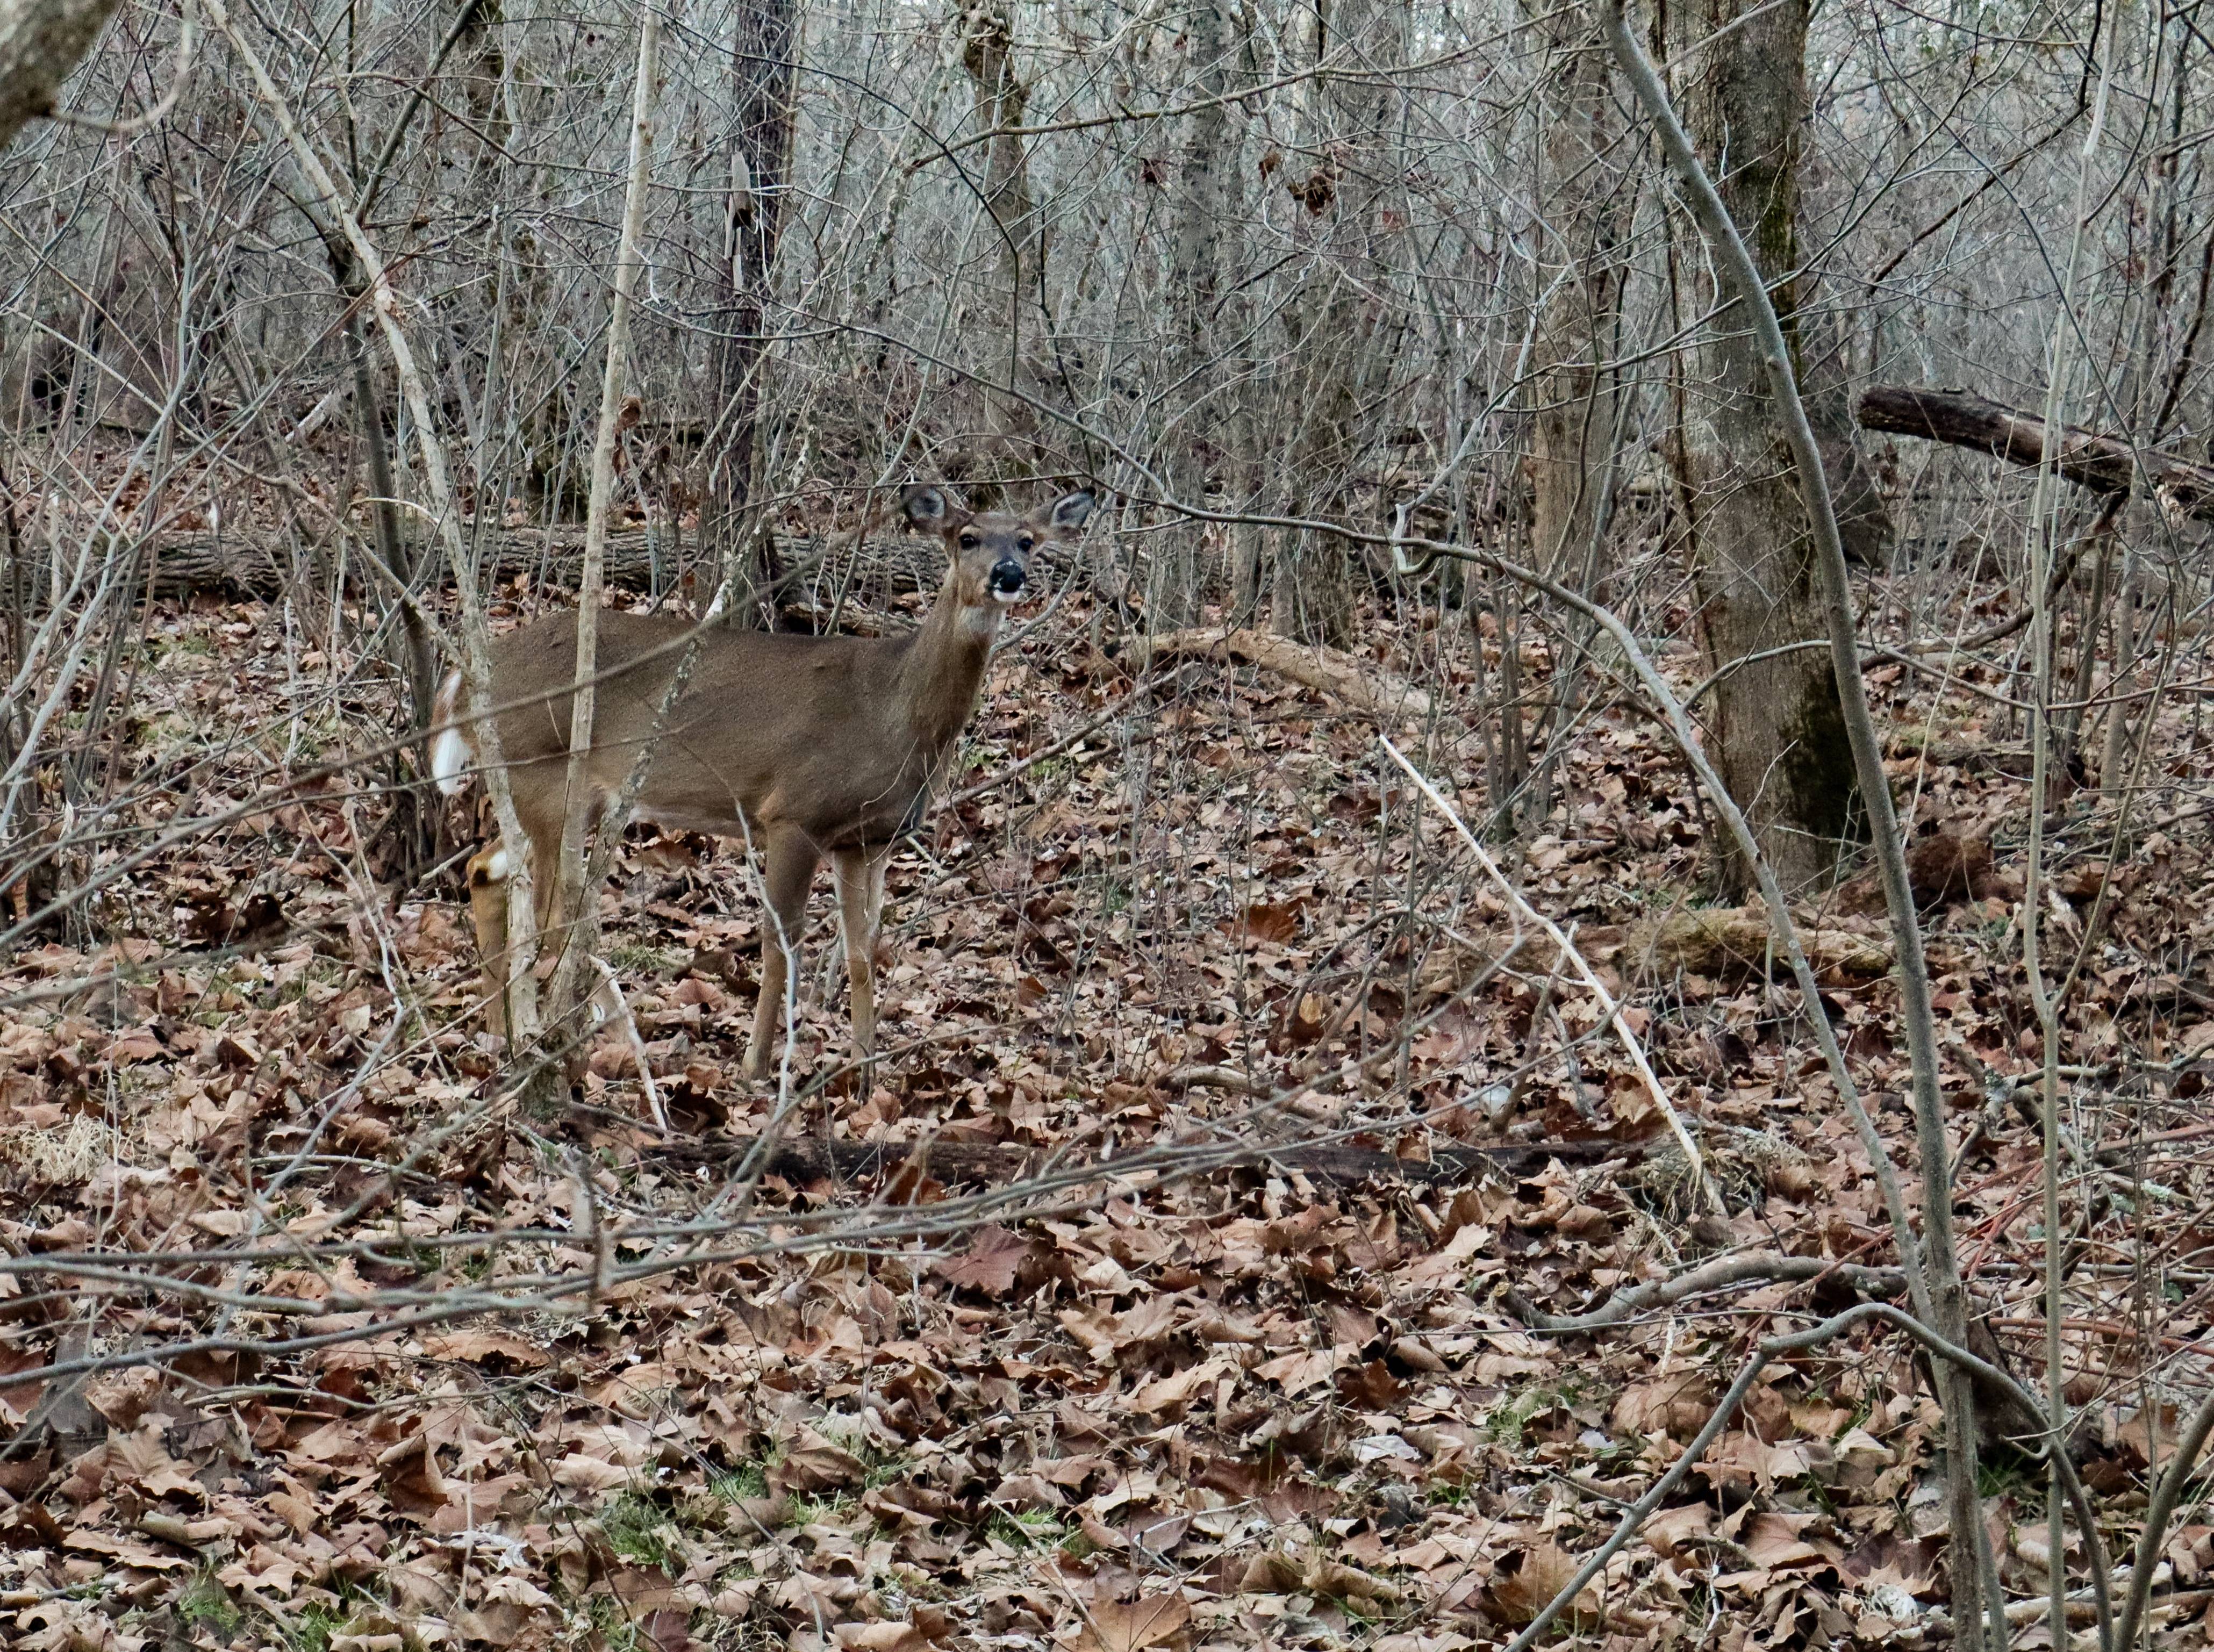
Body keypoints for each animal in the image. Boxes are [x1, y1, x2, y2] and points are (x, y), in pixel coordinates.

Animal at [427, 480, 1093, 1080]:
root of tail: (463, 682)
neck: (894, 710)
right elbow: (781, 944)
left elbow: (862, 951)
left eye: (1028, 540)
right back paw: (565, 1031)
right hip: (544, 776)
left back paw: (499, 1032)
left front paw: (865, 1070)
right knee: (541, 908)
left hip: (544, 791)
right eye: (966, 536)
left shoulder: (867, 840)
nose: (1008, 573)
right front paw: (756, 1065)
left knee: (485, 871)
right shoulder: (794, 812)